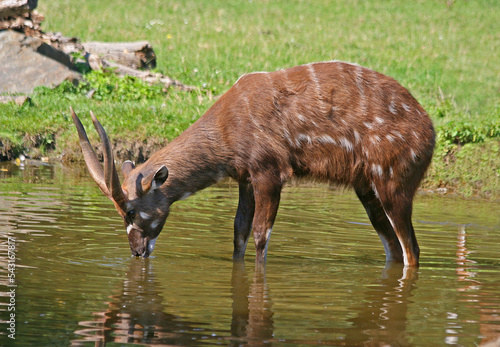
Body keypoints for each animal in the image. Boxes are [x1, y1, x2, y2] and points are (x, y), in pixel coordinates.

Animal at [70, 61, 434, 268]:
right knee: (393, 248)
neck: (227, 132)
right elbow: (239, 232)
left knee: (412, 249)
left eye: (131, 211)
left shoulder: (270, 172)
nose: (136, 252)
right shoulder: (244, 177)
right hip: (366, 189)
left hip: (393, 185)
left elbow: (261, 235)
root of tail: (429, 132)